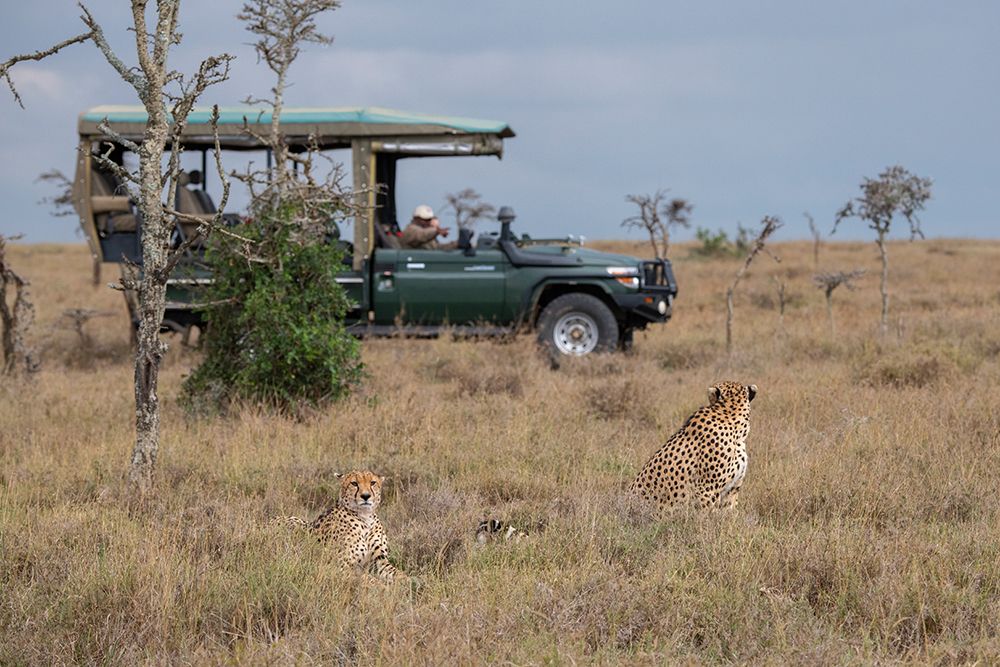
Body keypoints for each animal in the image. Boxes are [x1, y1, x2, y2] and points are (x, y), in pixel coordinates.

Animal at [274, 470, 402, 584]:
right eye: (354, 483)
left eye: (373, 483)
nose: (366, 496)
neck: (365, 517)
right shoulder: (340, 566)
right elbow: (368, 579)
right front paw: (385, 589)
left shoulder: (379, 562)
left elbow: (398, 573)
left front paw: (405, 584)